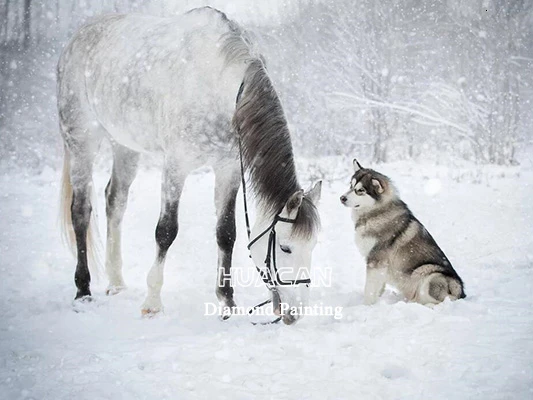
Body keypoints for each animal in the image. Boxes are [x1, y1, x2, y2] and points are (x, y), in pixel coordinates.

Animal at [58, 7, 320, 324]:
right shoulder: (176, 166)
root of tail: (77, 37)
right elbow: (166, 231)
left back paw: (117, 283)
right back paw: (83, 290)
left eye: (313, 246)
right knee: (81, 212)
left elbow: (226, 233)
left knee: (114, 201)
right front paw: (152, 303)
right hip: (81, 141)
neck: (217, 84)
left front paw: (227, 303)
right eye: (285, 247)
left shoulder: (228, 168)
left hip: (125, 146)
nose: (296, 311)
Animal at [338, 159, 464, 306]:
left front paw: (366, 306)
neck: (376, 212)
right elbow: (378, 287)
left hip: (428, 273)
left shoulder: (376, 260)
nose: (342, 198)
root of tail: (462, 293)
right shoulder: (379, 266)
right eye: (351, 186)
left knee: (441, 301)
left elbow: (369, 288)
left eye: (360, 191)